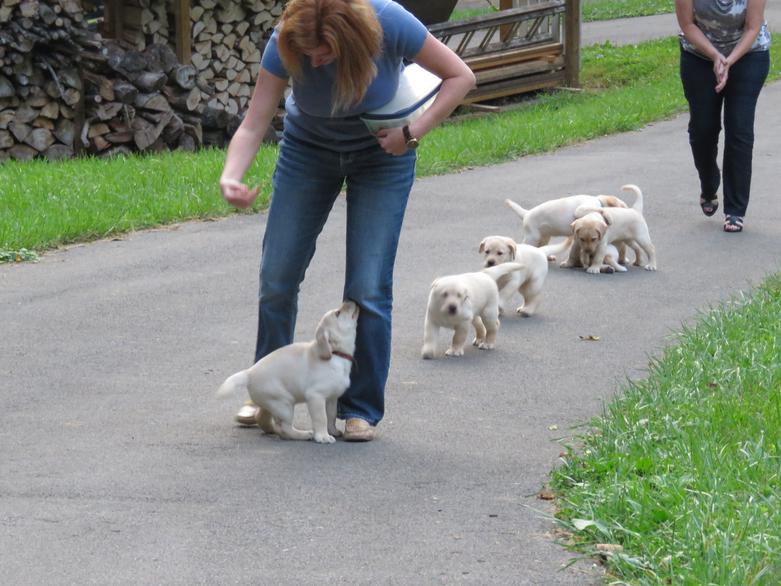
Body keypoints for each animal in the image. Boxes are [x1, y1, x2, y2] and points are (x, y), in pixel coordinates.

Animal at [215, 302, 358, 442]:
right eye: (338, 313)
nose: (350, 301)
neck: (336, 353)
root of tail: (248, 373)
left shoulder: (332, 398)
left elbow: (331, 416)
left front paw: (333, 431)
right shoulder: (316, 396)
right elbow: (321, 418)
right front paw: (323, 436)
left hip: (274, 403)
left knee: (266, 418)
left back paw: (271, 429)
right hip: (284, 404)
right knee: (284, 428)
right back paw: (304, 434)